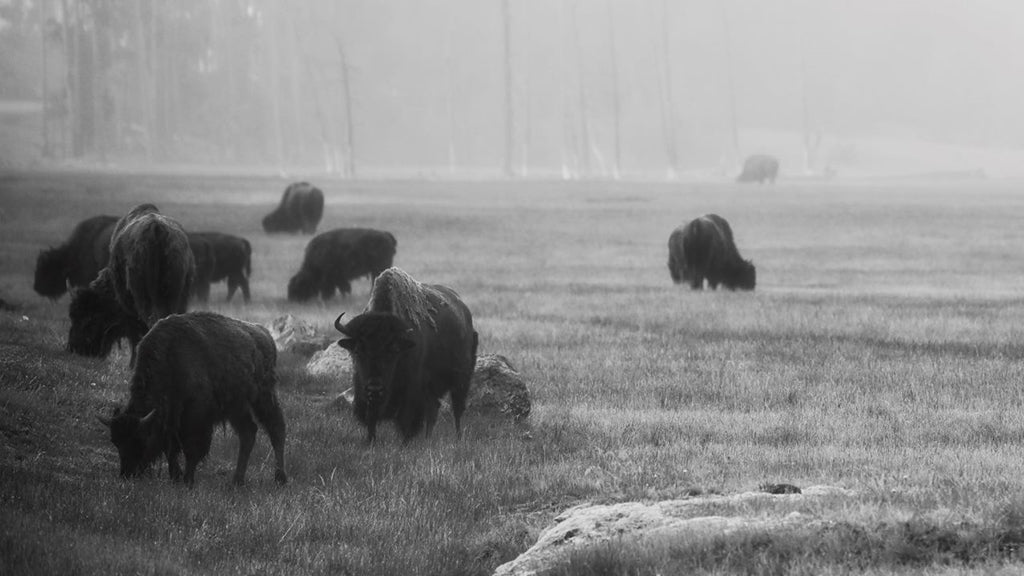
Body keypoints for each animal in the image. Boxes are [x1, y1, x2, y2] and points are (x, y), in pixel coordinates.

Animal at [99, 311, 287, 487]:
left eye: (140, 438)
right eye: (115, 442)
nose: (127, 474)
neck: (170, 357)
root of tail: (264, 334)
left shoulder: (196, 416)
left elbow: (191, 448)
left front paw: (187, 480)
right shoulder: (171, 418)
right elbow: (171, 448)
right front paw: (175, 477)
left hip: (263, 397)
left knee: (276, 430)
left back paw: (280, 478)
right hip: (236, 407)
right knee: (248, 432)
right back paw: (237, 481)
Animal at [333, 267, 478, 442]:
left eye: (393, 351)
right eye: (357, 350)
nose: (375, 388)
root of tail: (464, 312)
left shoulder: (412, 392)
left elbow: (407, 422)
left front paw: (404, 443)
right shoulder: (363, 392)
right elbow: (371, 421)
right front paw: (370, 441)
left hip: (461, 379)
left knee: (457, 410)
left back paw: (457, 438)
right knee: (433, 410)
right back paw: (428, 439)